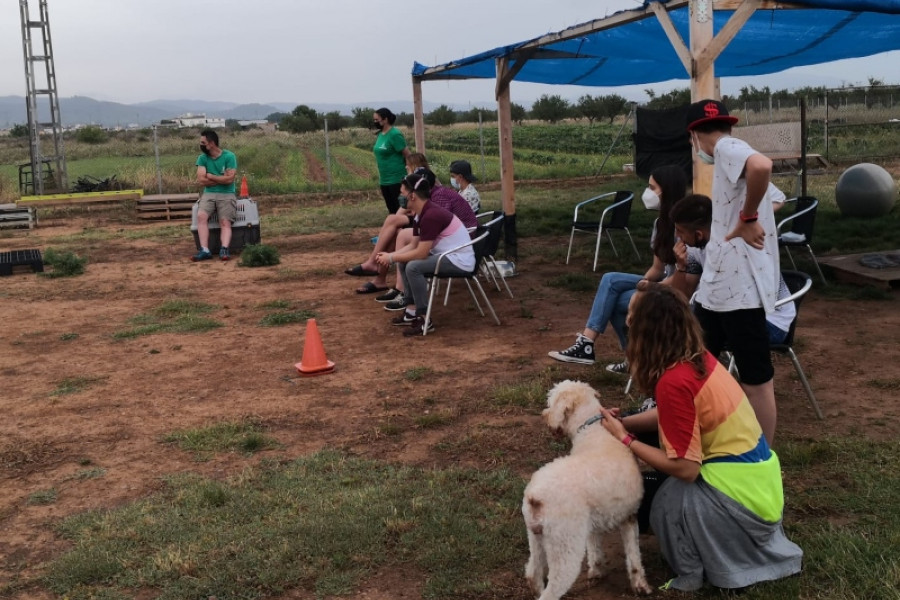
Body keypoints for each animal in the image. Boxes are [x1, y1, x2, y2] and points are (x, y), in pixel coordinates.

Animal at [520, 382, 652, 596]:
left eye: (551, 402)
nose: (544, 415)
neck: (592, 430)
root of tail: (535, 496)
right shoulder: (629, 518)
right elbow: (634, 557)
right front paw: (640, 585)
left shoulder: (596, 524)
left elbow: (596, 549)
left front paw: (597, 571)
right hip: (565, 546)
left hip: (536, 538)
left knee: (533, 574)